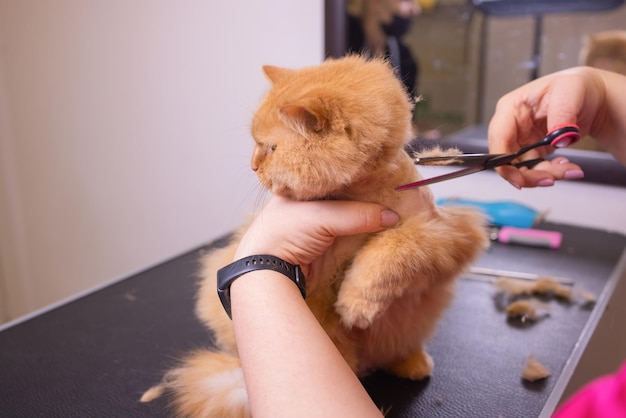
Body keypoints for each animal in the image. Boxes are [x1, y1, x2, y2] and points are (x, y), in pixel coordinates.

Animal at [141, 54, 488, 416]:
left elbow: (391, 249)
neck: (363, 193)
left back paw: (413, 363)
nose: (253, 166)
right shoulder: (319, 287)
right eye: (256, 145)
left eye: (270, 148)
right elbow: (339, 335)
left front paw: (357, 300)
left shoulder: (447, 231)